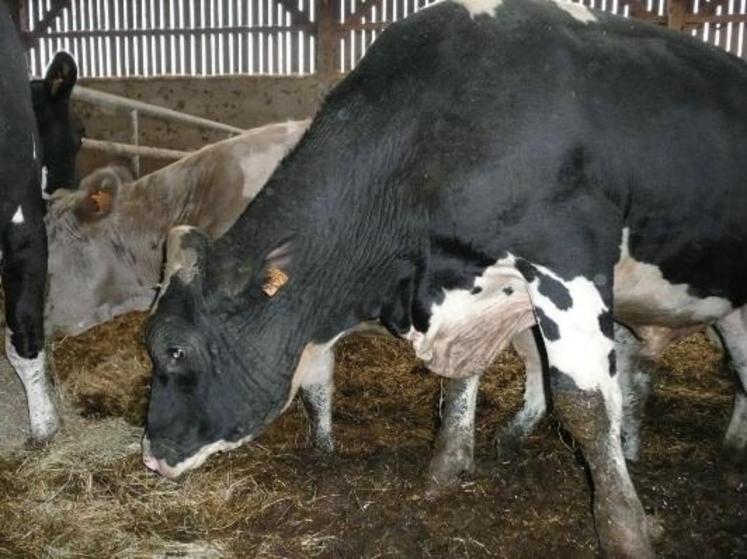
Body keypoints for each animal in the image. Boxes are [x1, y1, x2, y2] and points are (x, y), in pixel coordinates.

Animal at [143, 2, 744, 556]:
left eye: (174, 349)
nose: (150, 454)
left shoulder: (568, 259)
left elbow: (585, 404)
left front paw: (624, 529)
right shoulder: (469, 289)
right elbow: (460, 381)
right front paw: (445, 469)